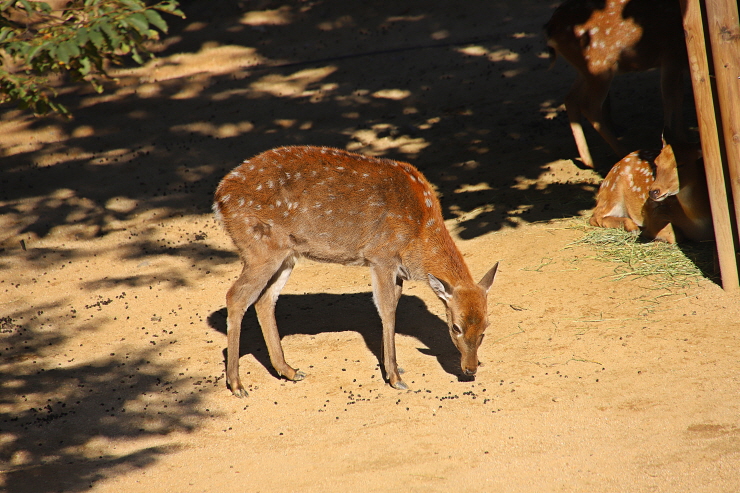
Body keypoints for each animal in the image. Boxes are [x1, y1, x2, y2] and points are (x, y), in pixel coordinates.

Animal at [213, 146, 499, 397]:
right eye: (455, 327)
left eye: (486, 327)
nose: (470, 369)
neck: (419, 234)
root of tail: (219, 198)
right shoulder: (381, 256)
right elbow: (387, 310)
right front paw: (395, 378)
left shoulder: (396, 269)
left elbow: (392, 307)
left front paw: (392, 367)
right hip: (260, 248)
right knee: (235, 296)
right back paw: (237, 384)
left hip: (286, 255)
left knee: (264, 299)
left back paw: (289, 370)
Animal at [545, 0, 688, 168]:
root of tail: (551, 28)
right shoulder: (670, 55)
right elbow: (669, 98)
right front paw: (669, 143)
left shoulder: (678, 61)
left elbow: (679, 96)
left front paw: (682, 138)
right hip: (600, 66)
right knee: (589, 106)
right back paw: (622, 151)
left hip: (586, 69)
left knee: (571, 98)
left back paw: (589, 160)